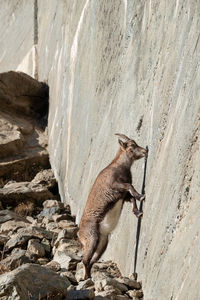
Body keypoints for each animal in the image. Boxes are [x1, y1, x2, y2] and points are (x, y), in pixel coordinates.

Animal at [78, 134, 147, 278]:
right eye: (131, 146)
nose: (145, 151)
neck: (117, 166)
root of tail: (79, 232)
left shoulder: (122, 196)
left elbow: (132, 198)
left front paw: (138, 212)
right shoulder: (115, 186)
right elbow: (130, 187)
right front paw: (141, 196)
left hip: (103, 243)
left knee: (92, 261)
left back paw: (89, 276)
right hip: (91, 238)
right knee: (85, 260)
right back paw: (86, 278)